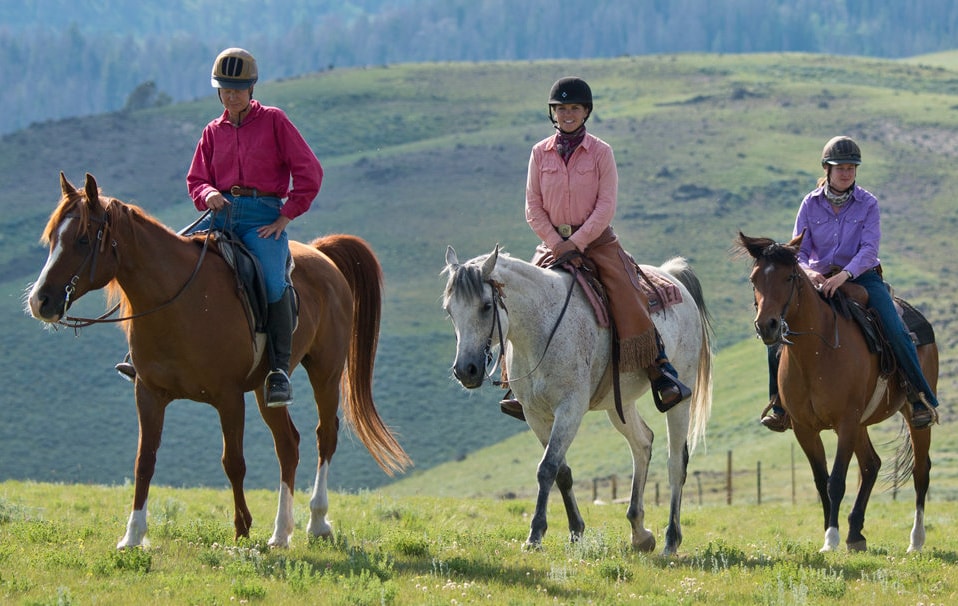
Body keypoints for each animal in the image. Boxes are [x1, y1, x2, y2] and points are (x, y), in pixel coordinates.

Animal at [28, 175, 410, 552]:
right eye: (52, 239)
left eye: (81, 240)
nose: (40, 301)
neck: (179, 302)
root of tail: (321, 254)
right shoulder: (148, 393)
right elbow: (144, 461)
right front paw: (133, 536)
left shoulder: (228, 397)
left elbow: (233, 463)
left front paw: (241, 530)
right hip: (267, 389)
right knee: (288, 445)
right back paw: (281, 532)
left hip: (325, 372)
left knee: (324, 436)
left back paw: (316, 522)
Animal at [442, 246, 712, 556]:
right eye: (449, 310)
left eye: (486, 305)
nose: (466, 370)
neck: (541, 328)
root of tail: (671, 275)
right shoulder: (535, 415)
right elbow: (562, 471)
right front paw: (576, 531)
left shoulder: (569, 409)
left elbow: (547, 467)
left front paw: (535, 535)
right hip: (619, 404)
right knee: (643, 444)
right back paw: (639, 533)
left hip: (680, 397)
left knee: (675, 463)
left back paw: (670, 540)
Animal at [736, 234, 936, 556]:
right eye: (754, 279)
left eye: (789, 276)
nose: (767, 326)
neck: (817, 352)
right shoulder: (805, 429)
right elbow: (821, 481)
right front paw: (831, 534)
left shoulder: (845, 422)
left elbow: (837, 481)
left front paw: (831, 538)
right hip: (861, 425)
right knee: (871, 465)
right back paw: (856, 534)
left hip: (908, 417)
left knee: (921, 470)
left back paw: (915, 540)